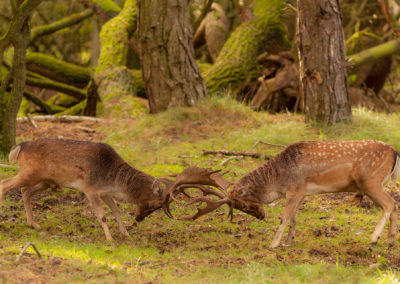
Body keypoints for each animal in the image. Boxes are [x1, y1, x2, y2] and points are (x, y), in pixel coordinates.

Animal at [0, 139, 173, 241]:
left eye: (157, 208)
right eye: (153, 205)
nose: (139, 219)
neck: (113, 182)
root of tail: (20, 147)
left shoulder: (105, 193)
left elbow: (116, 211)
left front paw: (126, 233)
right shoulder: (90, 189)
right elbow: (102, 216)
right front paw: (110, 239)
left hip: (47, 181)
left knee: (25, 191)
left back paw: (33, 224)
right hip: (30, 173)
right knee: (5, 183)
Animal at [168, 141, 400, 247]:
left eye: (242, 204)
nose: (261, 215)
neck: (278, 179)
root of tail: (395, 152)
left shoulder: (296, 188)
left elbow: (285, 216)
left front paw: (273, 244)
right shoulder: (301, 192)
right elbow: (294, 216)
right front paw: (289, 240)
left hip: (370, 181)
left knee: (389, 204)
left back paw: (374, 239)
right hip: (374, 183)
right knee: (394, 204)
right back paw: (390, 240)